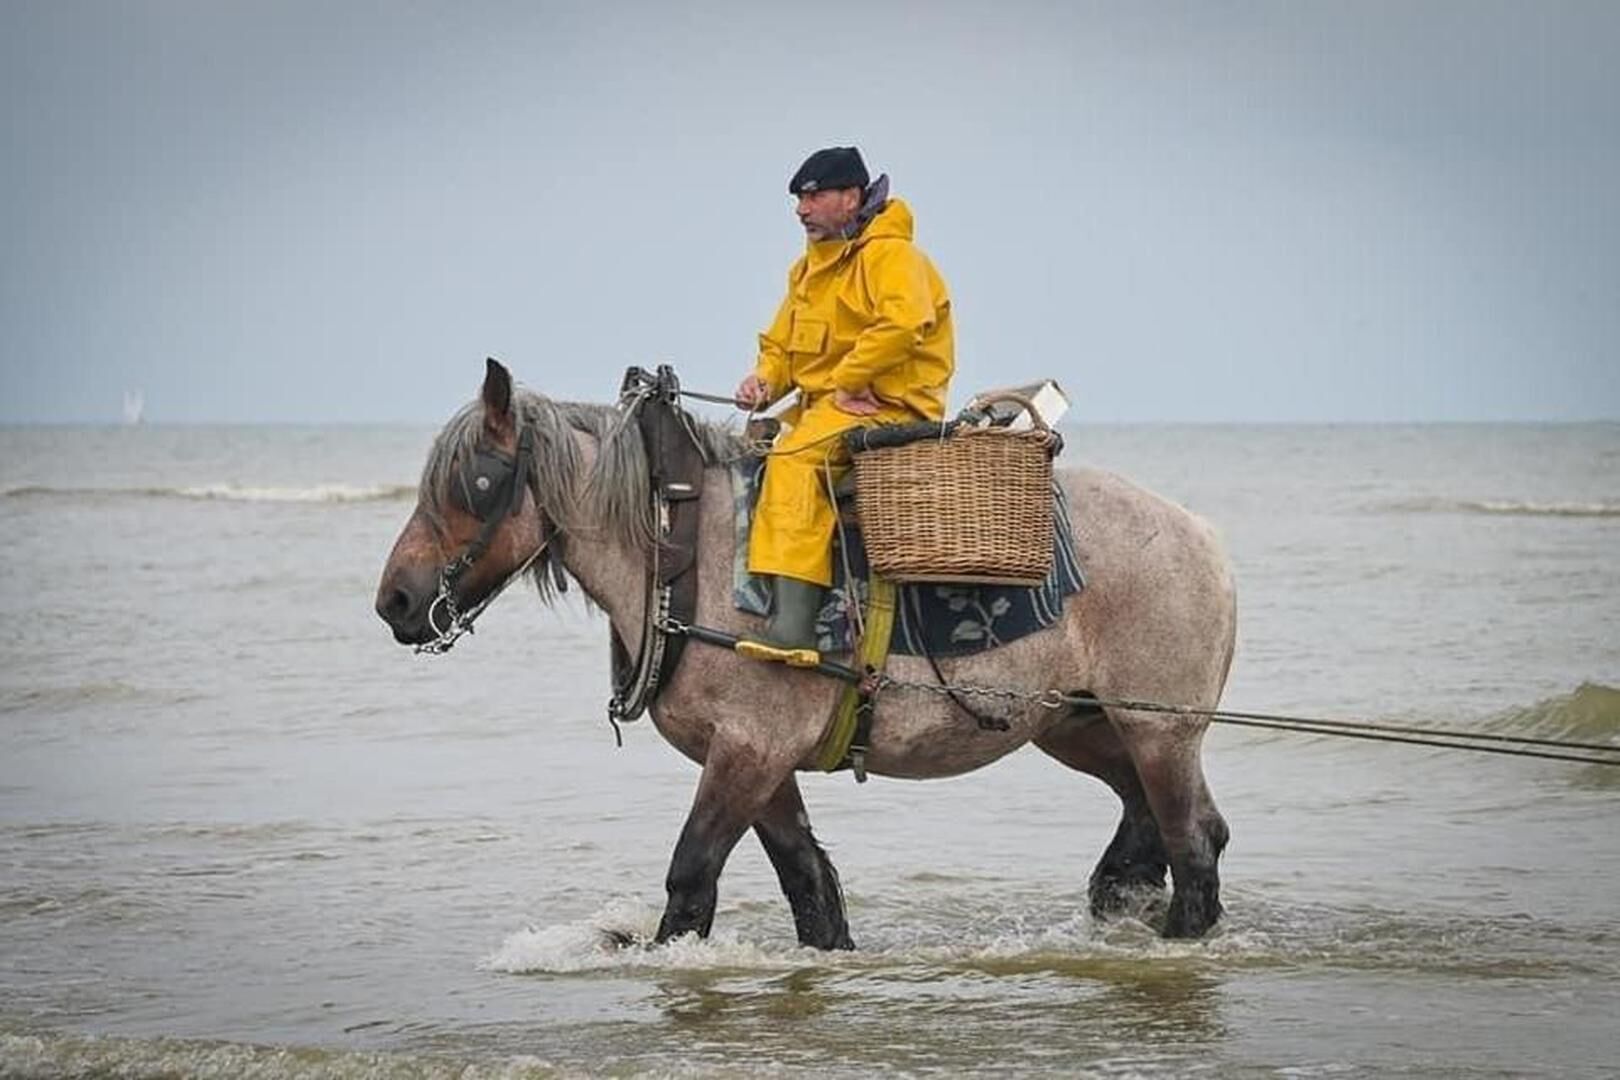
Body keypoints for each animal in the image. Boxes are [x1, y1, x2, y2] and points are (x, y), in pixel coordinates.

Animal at [375, 360, 1236, 946]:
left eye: (477, 481)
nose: (396, 602)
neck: (684, 559)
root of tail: (1203, 536)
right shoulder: (759, 757)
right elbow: (808, 882)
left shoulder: (750, 749)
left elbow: (693, 874)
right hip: (1081, 726)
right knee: (1162, 822)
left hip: (1158, 728)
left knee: (1191, 839)